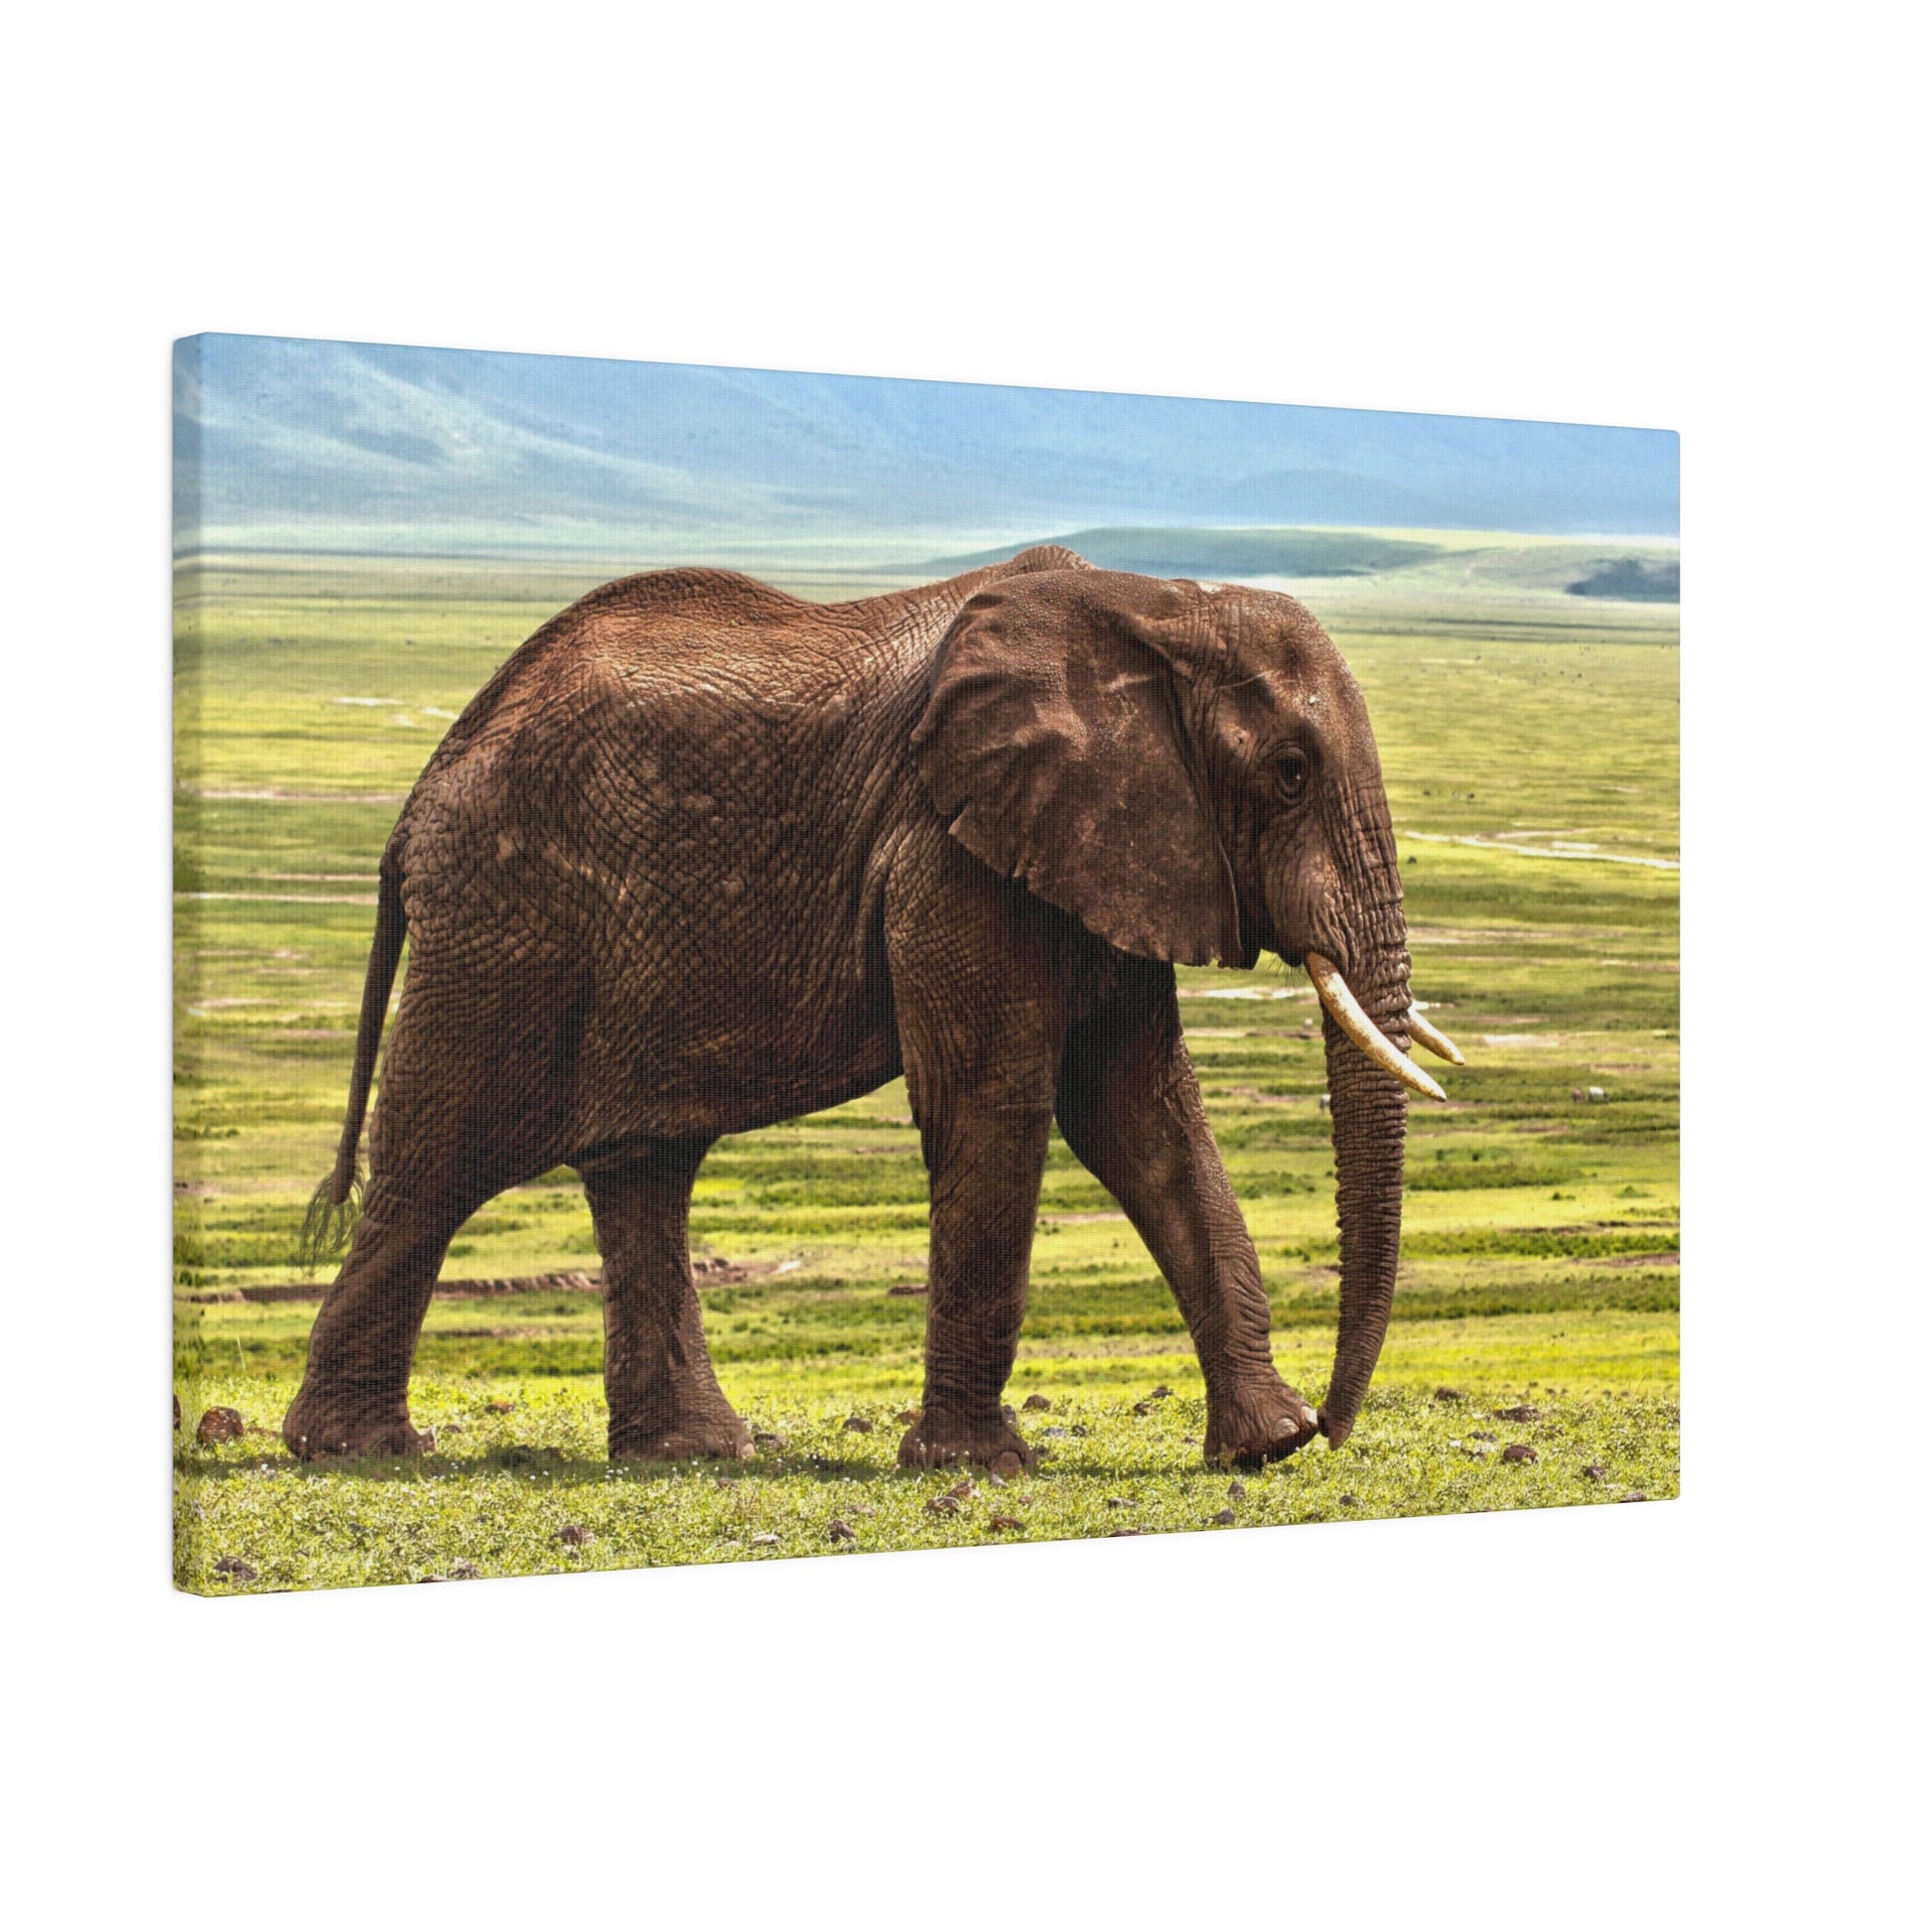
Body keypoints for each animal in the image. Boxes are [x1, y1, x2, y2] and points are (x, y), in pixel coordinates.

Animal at [282, 545, 1463, 1470]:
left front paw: (1264, 1447)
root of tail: (425, 786)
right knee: (442, 1160)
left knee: (642, 1166)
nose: (1336, 1427)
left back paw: (692, 1453)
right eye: (1290, 772)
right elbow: (997, 1104)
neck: (1156, 604)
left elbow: (1143, 1116)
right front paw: (978, 1466)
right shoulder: (948, 851)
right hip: (505, 923)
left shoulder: (1107, 850)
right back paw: (355, 1450)